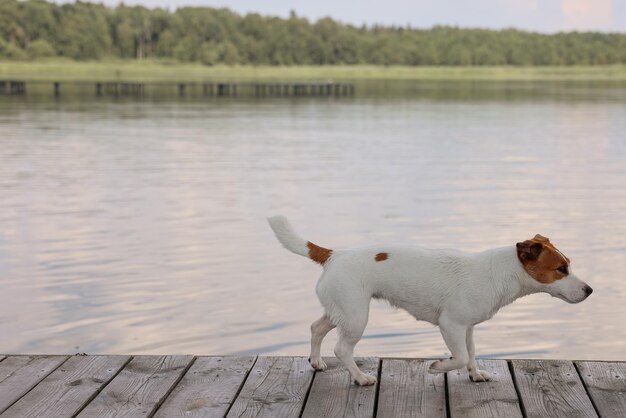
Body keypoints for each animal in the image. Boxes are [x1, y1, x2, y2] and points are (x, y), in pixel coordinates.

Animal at [266, 216, 588, 386]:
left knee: (316, 328)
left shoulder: (467, 328)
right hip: (356, 317)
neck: (499, 272)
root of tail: (334, 254)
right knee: (342, 348)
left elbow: (471, 354)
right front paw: (437, 367)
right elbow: (459, 357)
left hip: (340, 311)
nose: (590, 290)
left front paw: (475, 374)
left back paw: (317, 362)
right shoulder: (450, 325)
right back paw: (360, 377)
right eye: (561, 269)